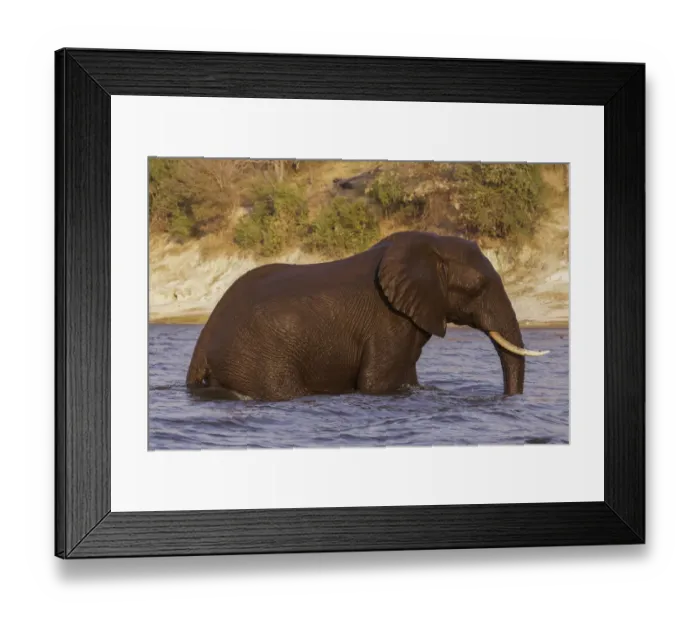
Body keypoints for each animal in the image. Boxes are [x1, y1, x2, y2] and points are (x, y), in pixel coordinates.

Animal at [186, 231, 548, 401]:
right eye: (479, 286)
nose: (508, 399)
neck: (429, 246)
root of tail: (203, 339)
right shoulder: (389, 323)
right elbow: (377, 383)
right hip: (258, 358)